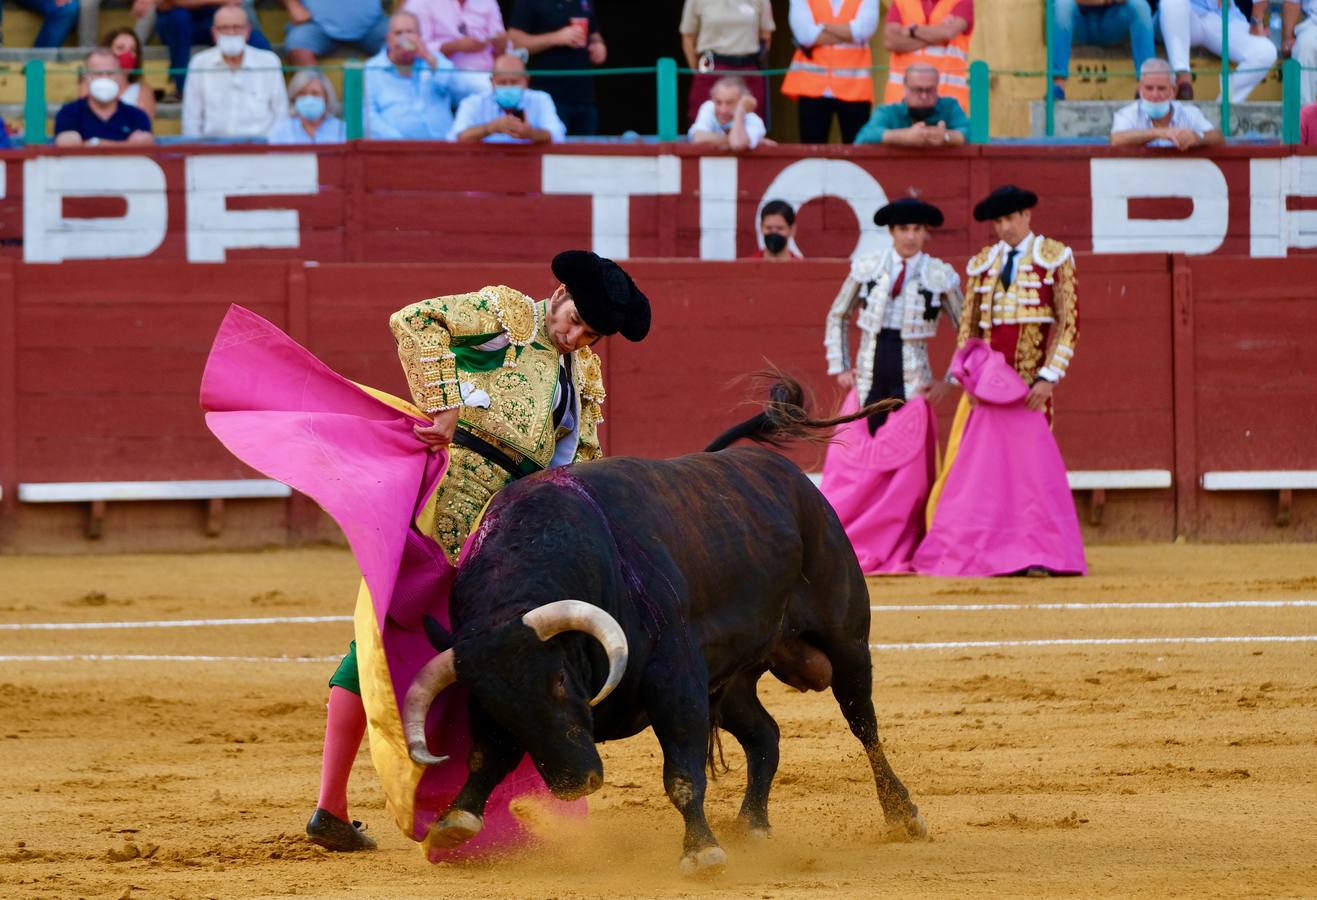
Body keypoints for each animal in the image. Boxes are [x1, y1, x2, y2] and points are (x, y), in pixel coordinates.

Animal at [403, 382, 927, 874]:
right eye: (489, 700)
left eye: (559, 680)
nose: (574, 784)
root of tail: (793, 480)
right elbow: (485, 756)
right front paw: (453, 822)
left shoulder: (674, 678)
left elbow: (682, 774)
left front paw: (701, 852)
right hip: (732, 681)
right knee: (765, 735)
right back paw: (752, 824)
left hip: (847, 639)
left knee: (863, 723)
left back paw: (903, 815)